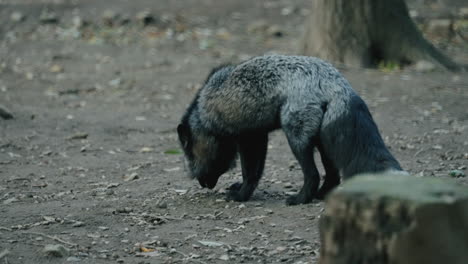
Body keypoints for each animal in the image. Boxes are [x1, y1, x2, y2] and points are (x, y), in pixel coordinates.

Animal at [177, 54, 404, 205]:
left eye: (189, 156)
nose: (202, 183)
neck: (204, 109)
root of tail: (338, 84)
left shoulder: (247, 138)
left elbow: (249, 172)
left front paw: (241, 196)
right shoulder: (258, 136)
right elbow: (256, 173)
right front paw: (241, 189)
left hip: (297, 139)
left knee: (313, 175)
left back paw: (301, 198)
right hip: (324, 141)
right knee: (332, 176)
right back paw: (320, 195)